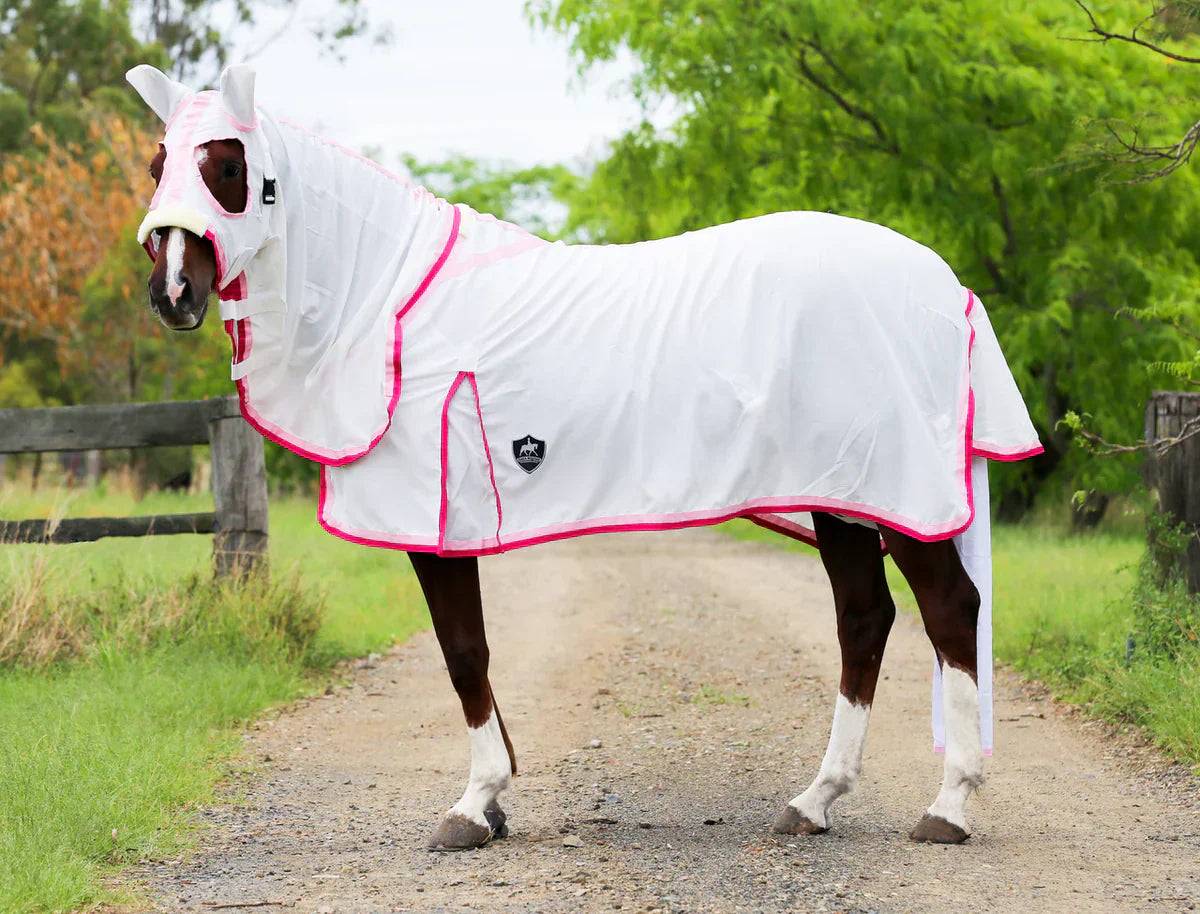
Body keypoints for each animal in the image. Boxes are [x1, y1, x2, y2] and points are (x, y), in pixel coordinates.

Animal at [127, 63, 1042, 851]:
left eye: (230, 167)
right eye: (158, 164)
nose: (172, 293)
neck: (391, 305)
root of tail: (943, 283)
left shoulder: (434, 524)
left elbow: (464, 652)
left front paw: (474, 807)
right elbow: (471, 653)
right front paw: (495, 802)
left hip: (901, 495)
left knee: (949, 612)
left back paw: (948, 808)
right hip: (842, 494)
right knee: (865, 620)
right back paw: (814, 801)